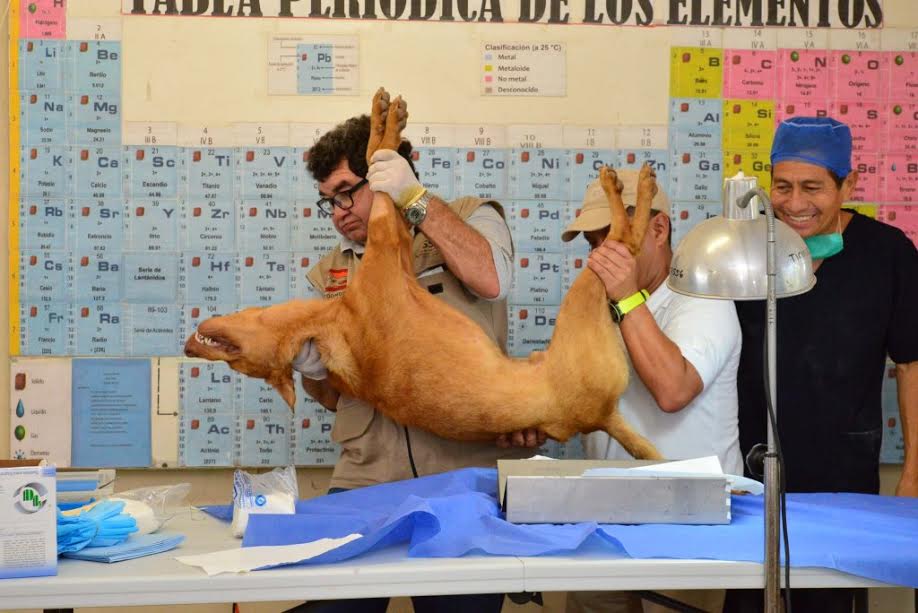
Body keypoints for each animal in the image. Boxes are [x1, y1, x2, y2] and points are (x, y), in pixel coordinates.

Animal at [184, 88, 662, 460]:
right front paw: (388, 125)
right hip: (584, 308)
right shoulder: (384, 237)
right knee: (625, 240)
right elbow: (378, 160)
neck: (329, 324)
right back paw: (630, 187)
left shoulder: (392, 244)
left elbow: (378, 160)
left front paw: (382, 122)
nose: (189, 347)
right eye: (241, 364)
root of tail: (600, 418)